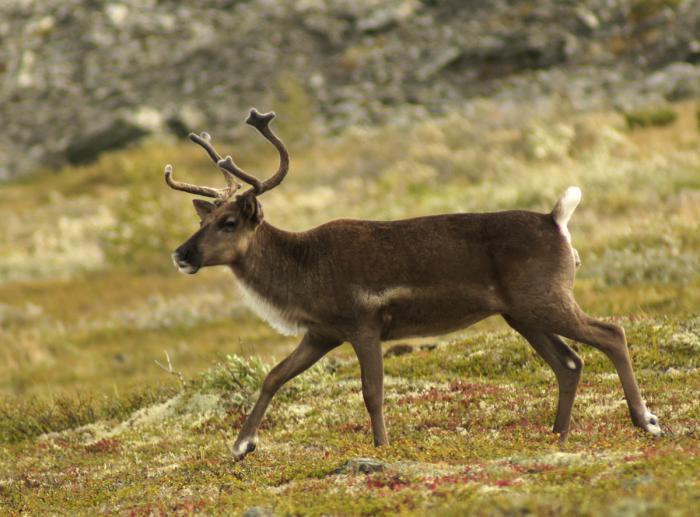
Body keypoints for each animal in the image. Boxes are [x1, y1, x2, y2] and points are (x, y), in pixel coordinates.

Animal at [164, 108, 661, 461]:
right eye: (204, 219)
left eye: (228, 223)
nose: (181, 255)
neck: (301, 269)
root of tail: (557, 221)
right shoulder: (322, 333)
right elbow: (273, 376)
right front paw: (240, 446)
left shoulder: (364, 325)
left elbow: (372, 393)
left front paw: (382, 449)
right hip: (521, 314)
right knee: (570, 362)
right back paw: (557, 435)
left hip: (545, 300)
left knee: (611, 333)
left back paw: (646, 421)